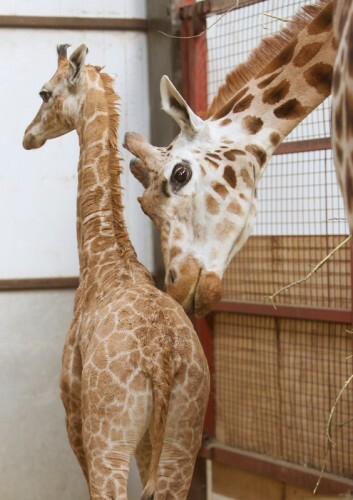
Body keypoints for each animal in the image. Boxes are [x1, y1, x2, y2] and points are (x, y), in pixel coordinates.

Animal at [22, 44, 209, 500]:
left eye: (44, 93)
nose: (28, 136)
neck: (104, 257)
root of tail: (162, 362)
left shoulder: (74, 411)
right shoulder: (148, 444)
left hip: (108, 439)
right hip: (181, 441)